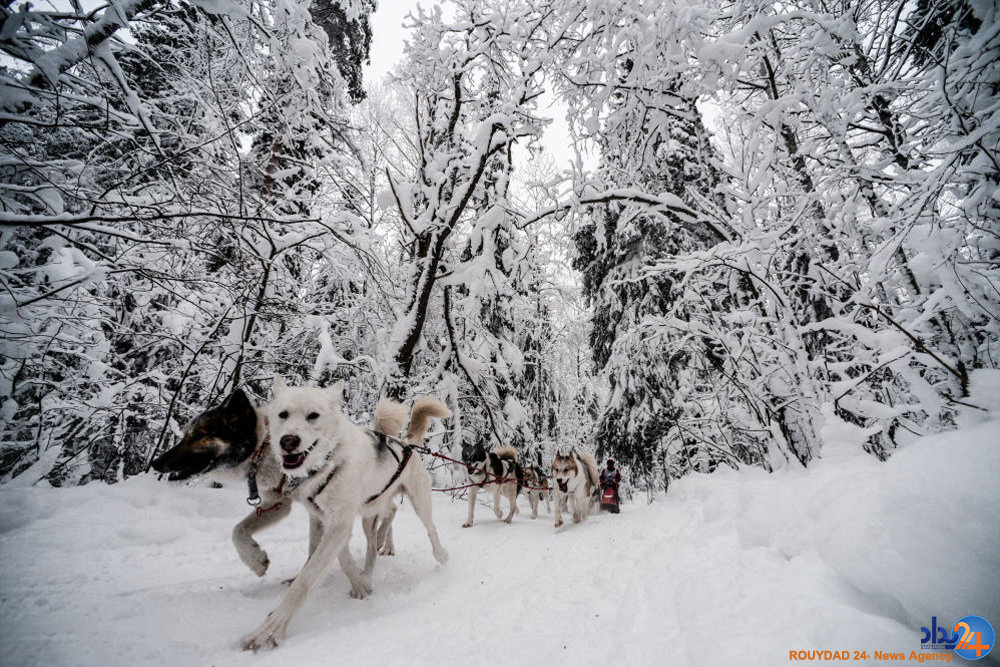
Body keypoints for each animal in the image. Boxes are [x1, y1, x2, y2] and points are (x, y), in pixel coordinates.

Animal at [242, 380, 450, 652]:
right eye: (283, 414)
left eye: (313, 415)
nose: (288, 441)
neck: (329, 462)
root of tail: (404, 442)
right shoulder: (323, 518)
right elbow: (330, 556)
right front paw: (358, 581)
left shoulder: (340, 523)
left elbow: (306, 580)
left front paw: (271, 628)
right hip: (369, 512)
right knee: (376, 537)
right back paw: (374, 557)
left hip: (419, 500)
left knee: (430, 528)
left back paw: (439, 554)